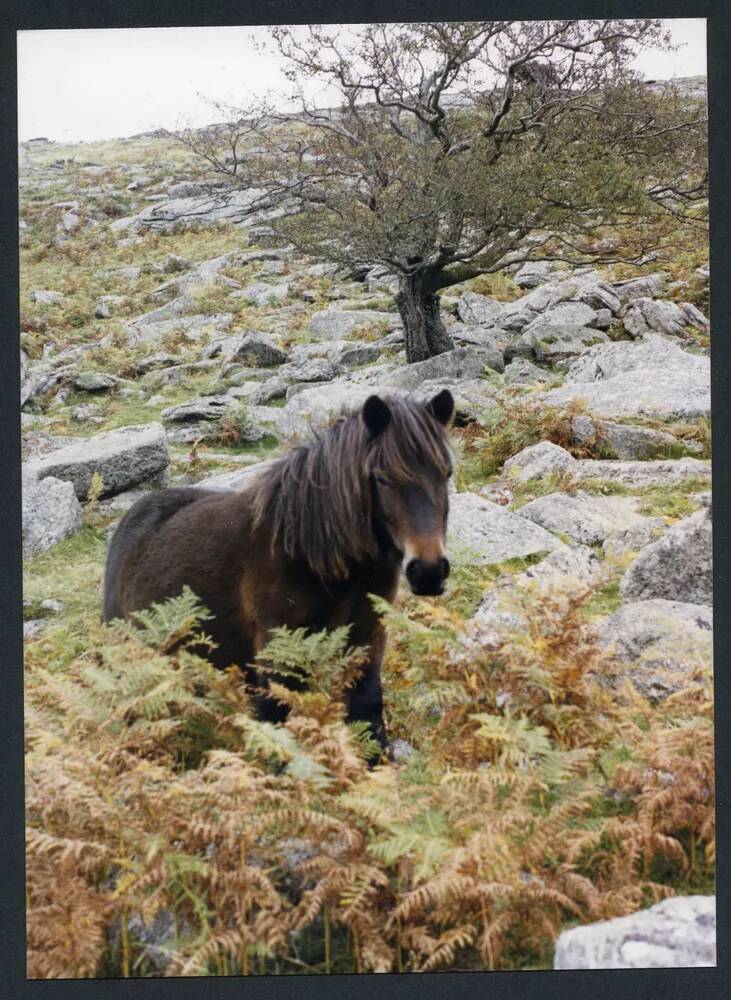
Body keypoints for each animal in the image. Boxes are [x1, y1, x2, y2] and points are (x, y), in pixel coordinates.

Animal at [102, 386, 454, 752]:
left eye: (446, 474)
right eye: (382, 478)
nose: (428, 571)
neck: (312, 551)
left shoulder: (368, 639)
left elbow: (368, 713)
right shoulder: (276, 651)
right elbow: (276, 725)